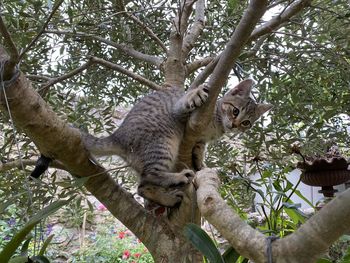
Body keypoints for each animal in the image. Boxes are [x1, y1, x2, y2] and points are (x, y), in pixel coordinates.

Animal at [82, 79, 274, 207]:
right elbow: (185, 101)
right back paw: (178, 179)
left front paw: (200, 163)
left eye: (246, 123)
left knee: (142, 186)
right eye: (235, 111)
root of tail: (117, 135)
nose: (235, 125)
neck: (216, 126)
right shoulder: (183, 112)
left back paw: (166, 198)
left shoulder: (201, 140)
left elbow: (199, 150)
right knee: (148, 176)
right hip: (163, 143)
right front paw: (196, 92)